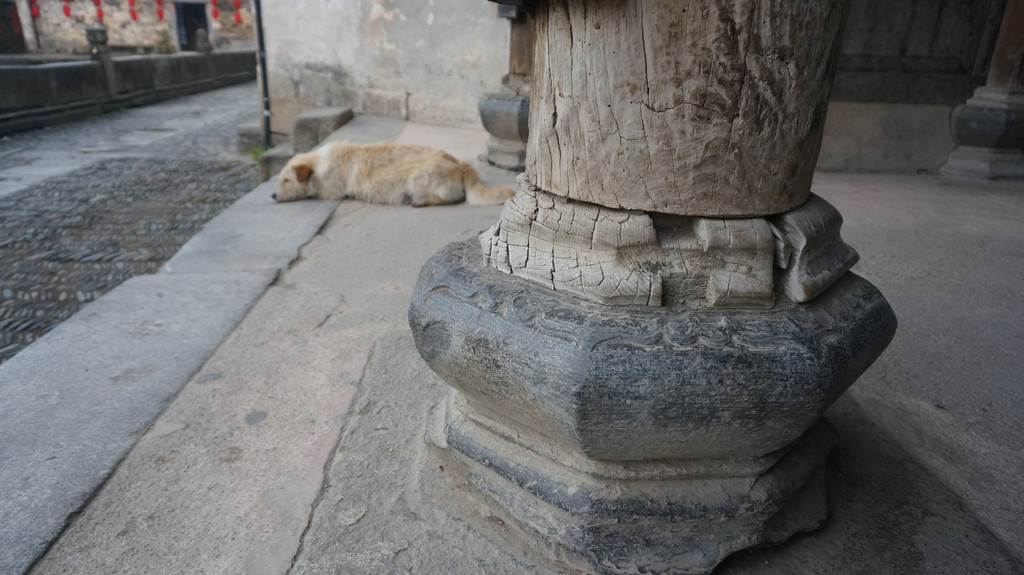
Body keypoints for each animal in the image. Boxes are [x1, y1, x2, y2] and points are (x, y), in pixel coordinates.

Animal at [272, 140, 516, 206]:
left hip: (419, 177)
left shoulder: (330, 192)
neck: (318, 165)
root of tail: (460, 164)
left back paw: (421, 201)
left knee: (451, 199)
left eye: (286, 180)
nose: (272, 195)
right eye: (280, 180)